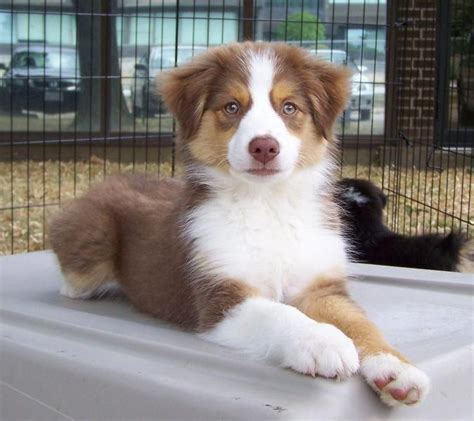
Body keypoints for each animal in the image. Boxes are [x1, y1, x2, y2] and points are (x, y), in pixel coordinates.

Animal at [50, 41, 432, 404]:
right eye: (232, 107)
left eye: (288, 107)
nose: (264, 147)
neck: (268, 202)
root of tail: (109, 179)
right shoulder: (220, 297)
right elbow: (279, 314)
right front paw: (322, 341)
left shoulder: (321, 287)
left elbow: (360, 322)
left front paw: (395, 367)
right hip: (92, 235)